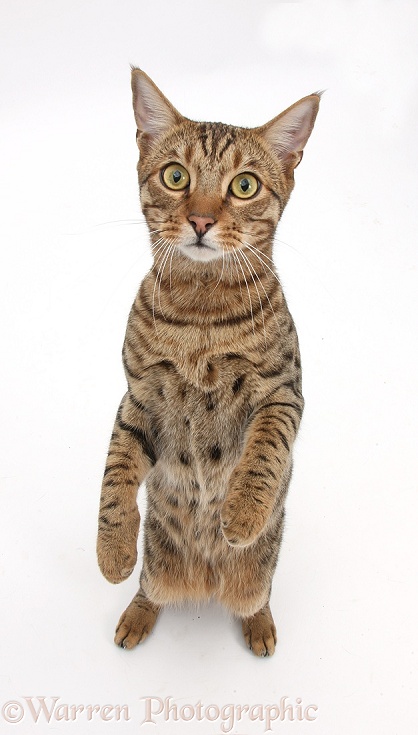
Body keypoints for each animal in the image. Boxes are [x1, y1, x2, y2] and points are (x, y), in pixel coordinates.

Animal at [98, 67, 320, 656]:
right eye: (176, 176)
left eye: (244, 185)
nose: (199, 219)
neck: (201, 313)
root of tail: (204, 584)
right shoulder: (137, 396)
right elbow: (114, 474)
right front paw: (111, 549)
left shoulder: (283, 392)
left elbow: (265, 452)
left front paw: (240, 510)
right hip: (158, 566)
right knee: (150, 588)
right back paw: (136, 613)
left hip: (258, 575)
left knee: (256, 596)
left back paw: (259, 624)